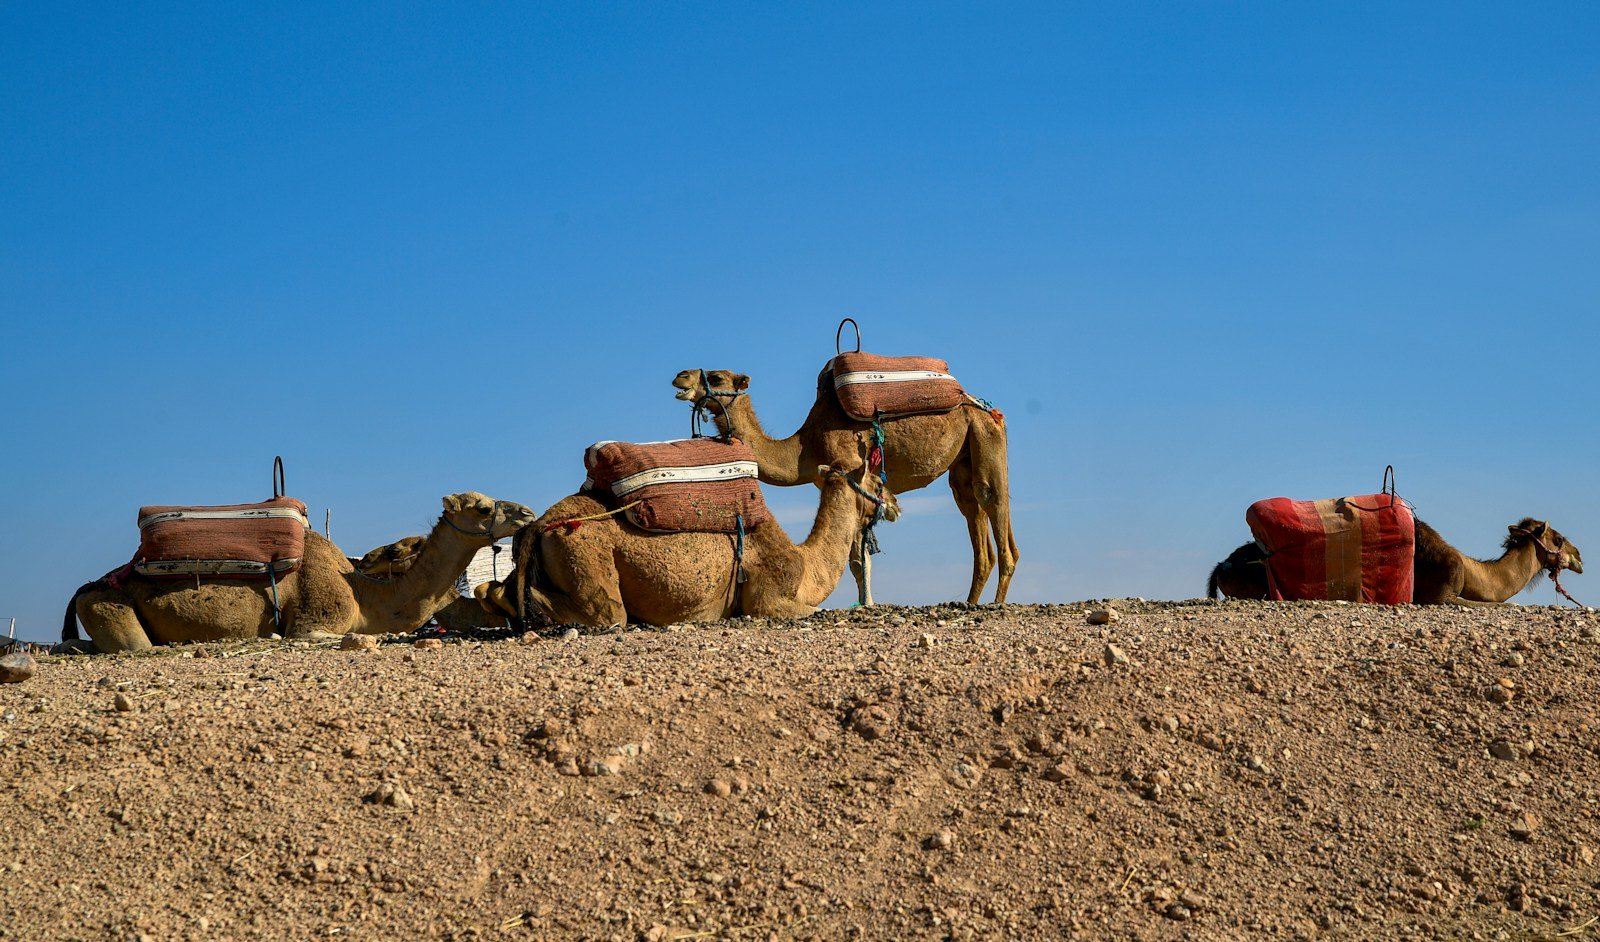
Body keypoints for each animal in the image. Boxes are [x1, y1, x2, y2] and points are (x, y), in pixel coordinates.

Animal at [62, 493, 535, 652]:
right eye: (483, 507)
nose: (527, 512)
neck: (363, 595)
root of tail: (84, 588)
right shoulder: (311, 623)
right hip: (110, 606)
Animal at [487, 459, 899, 628]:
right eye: (878, 482)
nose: (896, 505)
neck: (803, 564)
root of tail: (543, 523)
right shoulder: (766, 598)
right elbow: (812, 610)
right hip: (587, 556)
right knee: (606, 614)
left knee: (495, 591)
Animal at [672, 367, 1016, 606]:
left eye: (716, 377)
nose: (680, 377)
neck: (804, 447)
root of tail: (986, 408)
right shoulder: (834, 479)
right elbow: (856, 560)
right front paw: (865, 604)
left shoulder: (851, 469)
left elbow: (859, 560)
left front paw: (867, 604)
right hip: (963, 461)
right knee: (972, 510)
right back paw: (970, 602)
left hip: (985, 437)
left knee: (992, 498)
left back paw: (996, 603)